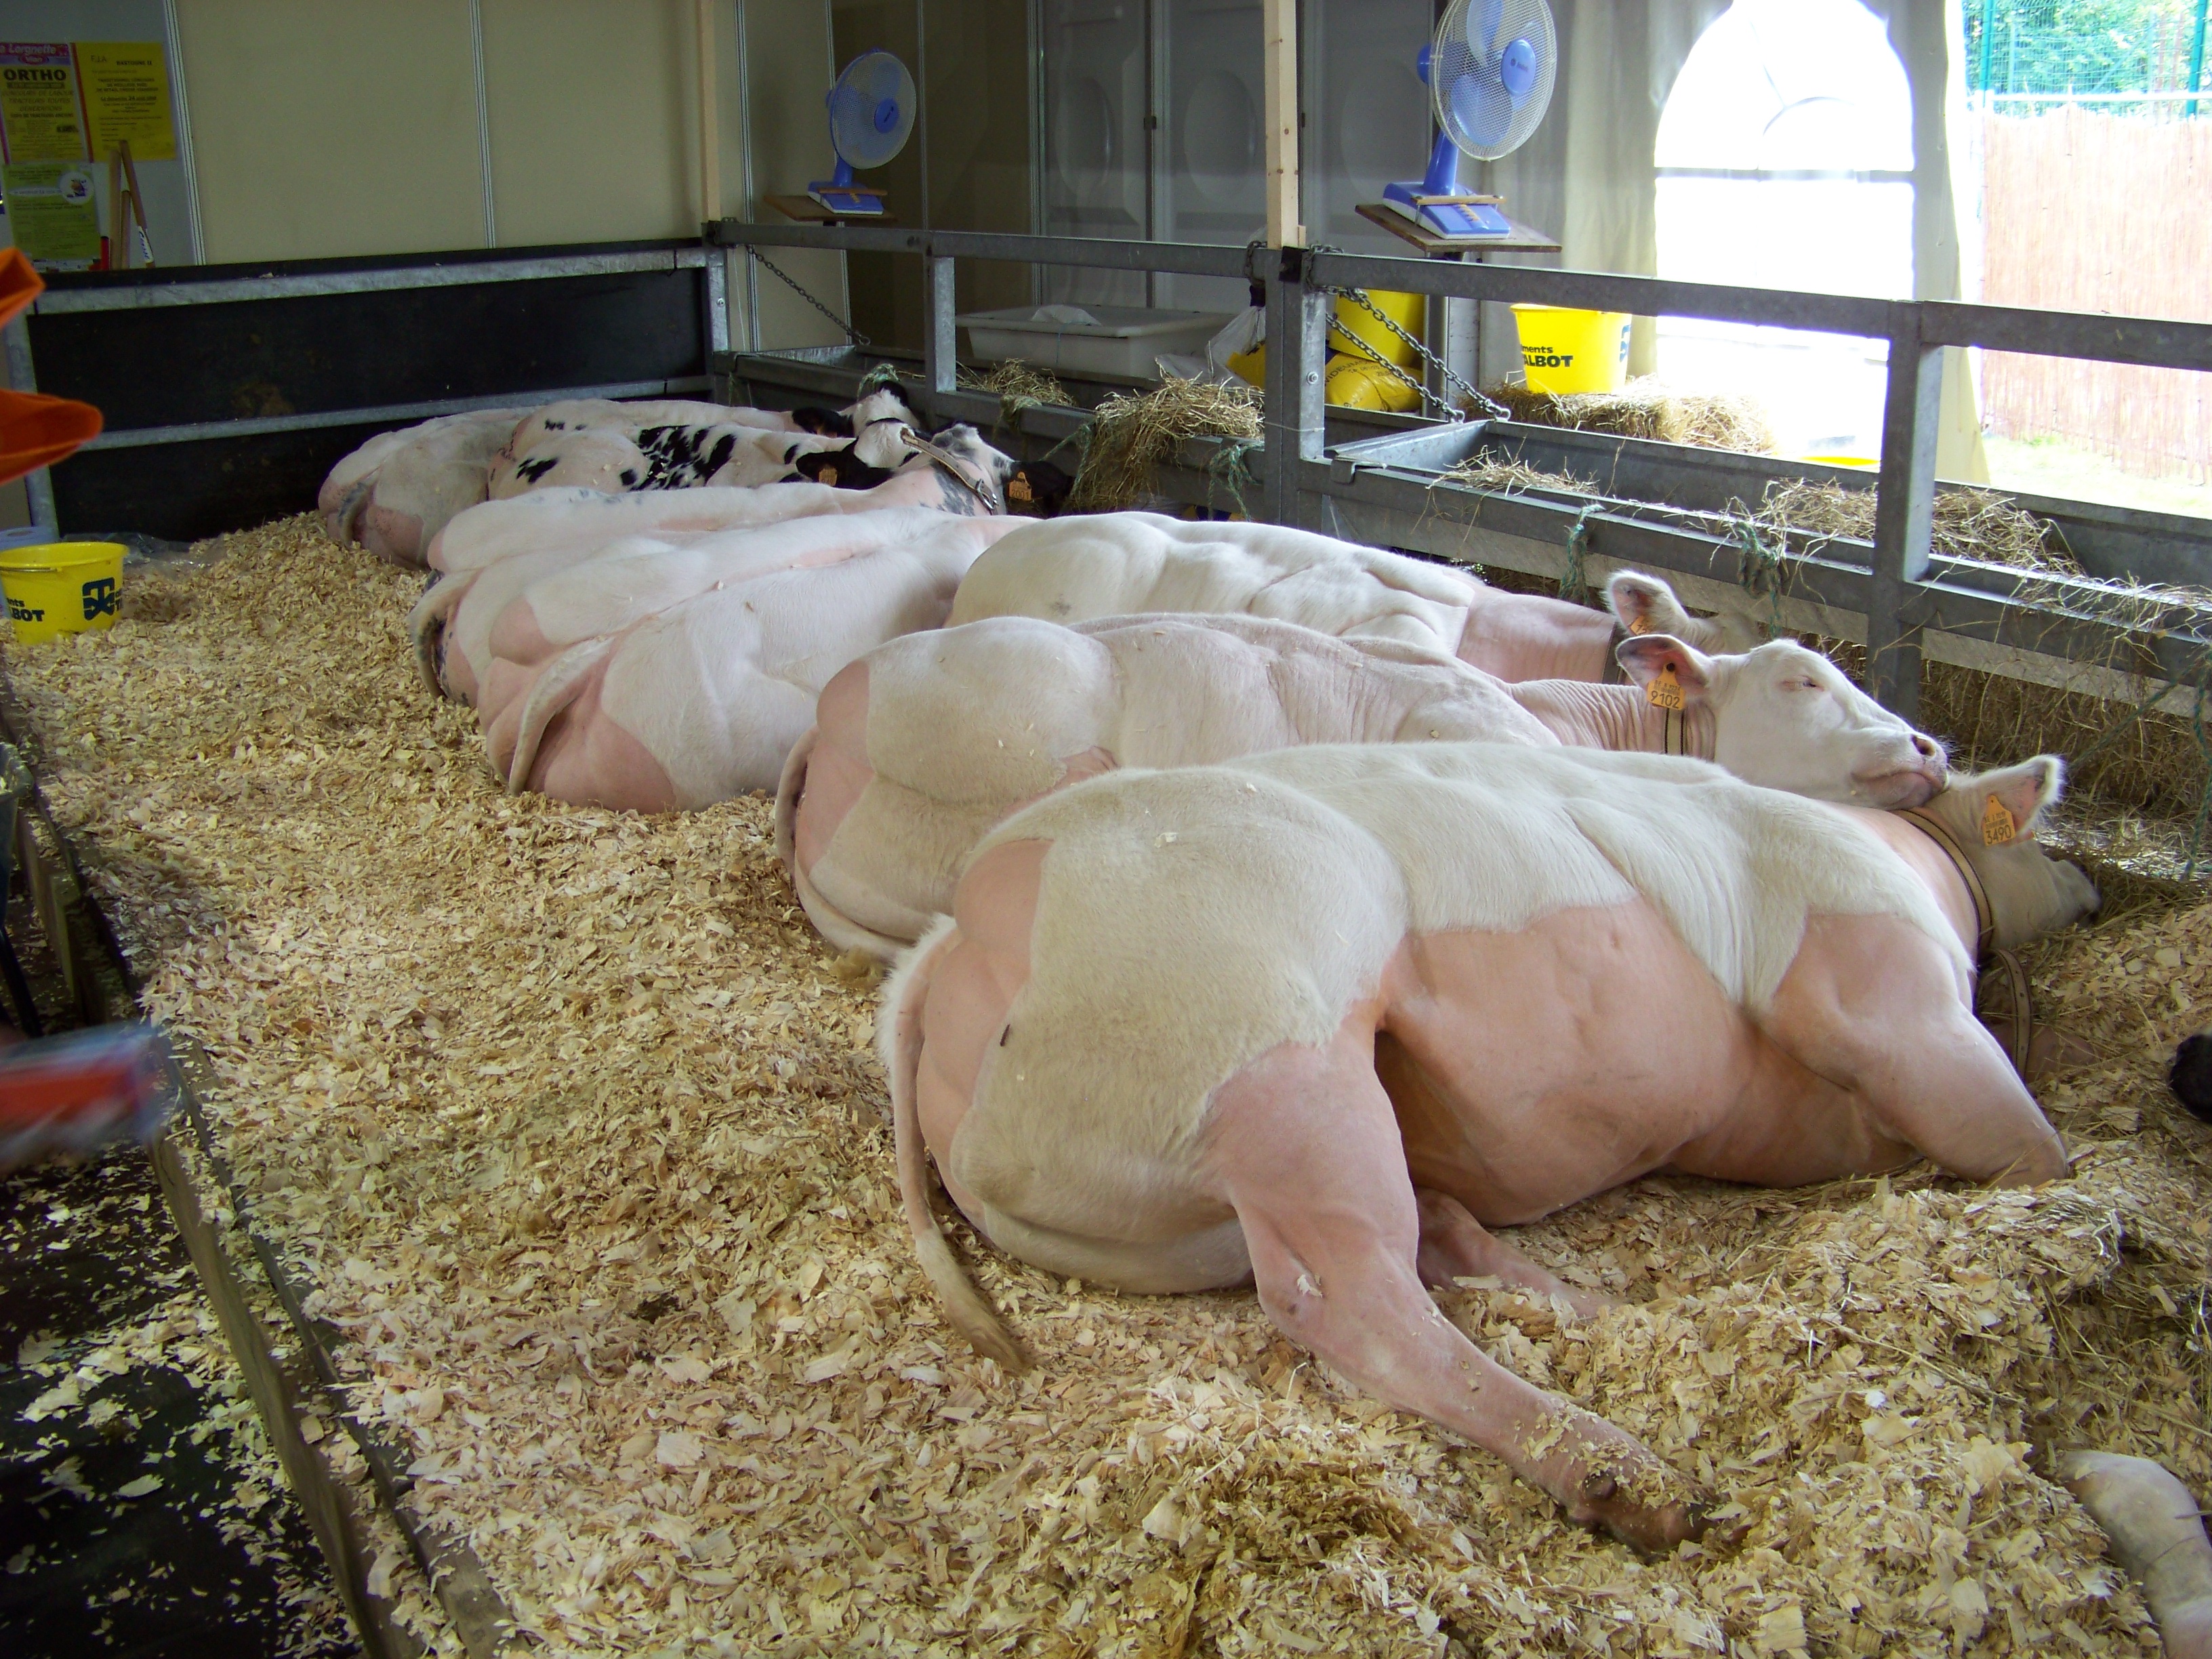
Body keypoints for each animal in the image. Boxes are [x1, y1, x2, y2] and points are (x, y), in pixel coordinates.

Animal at [880, 747, 2088, 1557]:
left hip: (1189, 1206)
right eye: (2048, 839)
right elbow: (2024, 1147)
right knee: (1354, 1303)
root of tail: (954, 940)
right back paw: (1634, 1482)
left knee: (1428, 1244)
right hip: (1268, 1054)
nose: (2099, 882)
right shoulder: (1889, 991)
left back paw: (1605, 1313)